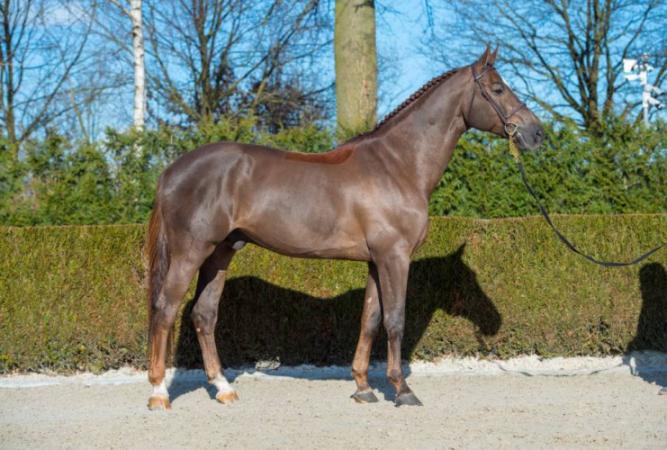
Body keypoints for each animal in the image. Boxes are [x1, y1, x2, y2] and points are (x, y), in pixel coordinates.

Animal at [145, 46, 544, 410]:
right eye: (497, 89)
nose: (536, 133)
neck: (398, 165)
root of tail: (171, 171)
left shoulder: (375, 261)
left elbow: (370, 319)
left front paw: (363, 387)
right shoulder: (394, 258)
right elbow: (395, 320)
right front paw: (402, 390)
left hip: (221, 254)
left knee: (203, 314)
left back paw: (223, 388)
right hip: (190, 253)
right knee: (165, 309)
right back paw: (159, 393)